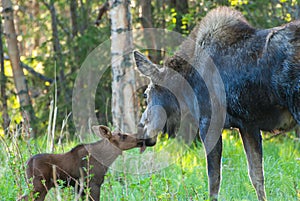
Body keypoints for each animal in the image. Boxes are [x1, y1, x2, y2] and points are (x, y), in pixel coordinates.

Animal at [134, 6, 300, 201]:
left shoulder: (209, 121)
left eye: (146, 95)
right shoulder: (248, 125)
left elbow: (214, 179)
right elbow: (256, 176)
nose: (141, 128)